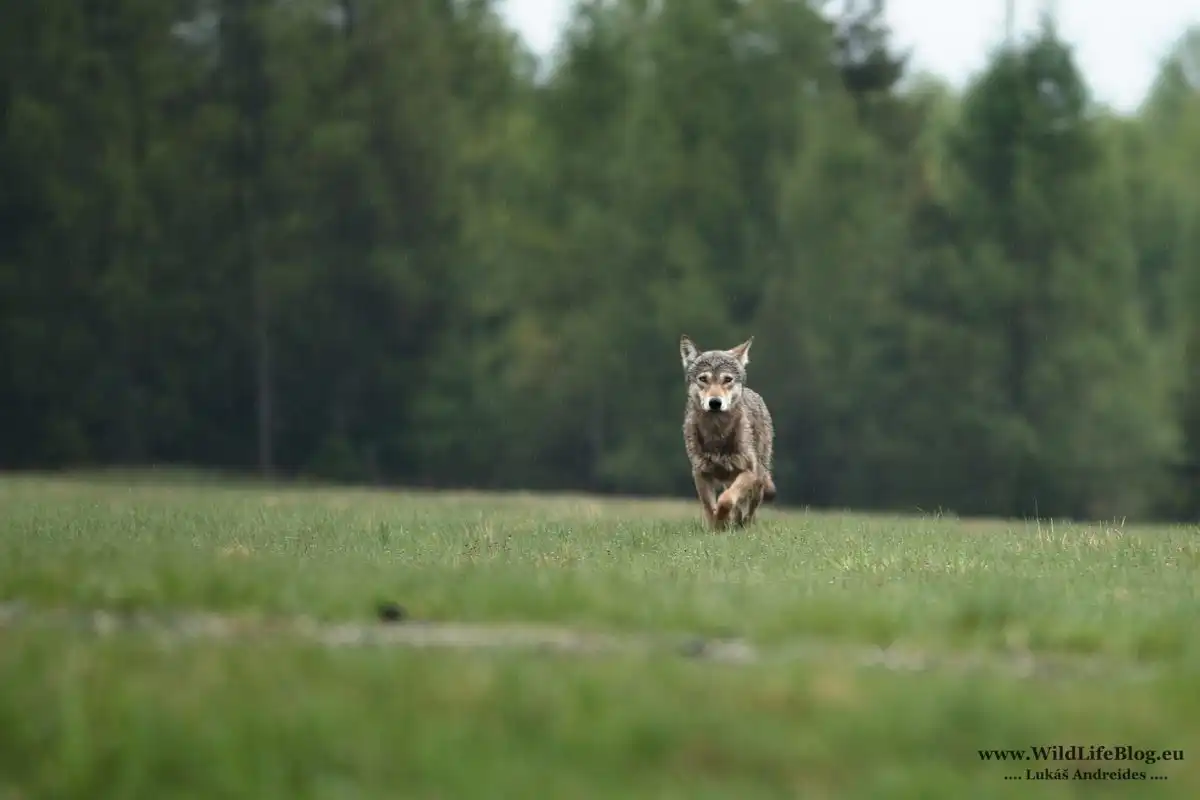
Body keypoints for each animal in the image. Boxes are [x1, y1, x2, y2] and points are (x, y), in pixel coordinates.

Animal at [679, 335, 776, 530]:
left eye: (727, 379)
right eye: (703, 379)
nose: (715, 402)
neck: (717, 433)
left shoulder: (748, 472)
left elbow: (726, 500)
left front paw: (722, 521)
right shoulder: (700, 474)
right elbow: (710, 508)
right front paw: (717, 527)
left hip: (758, 480)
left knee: (749, 512)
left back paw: (744, 526)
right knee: (738, 508)